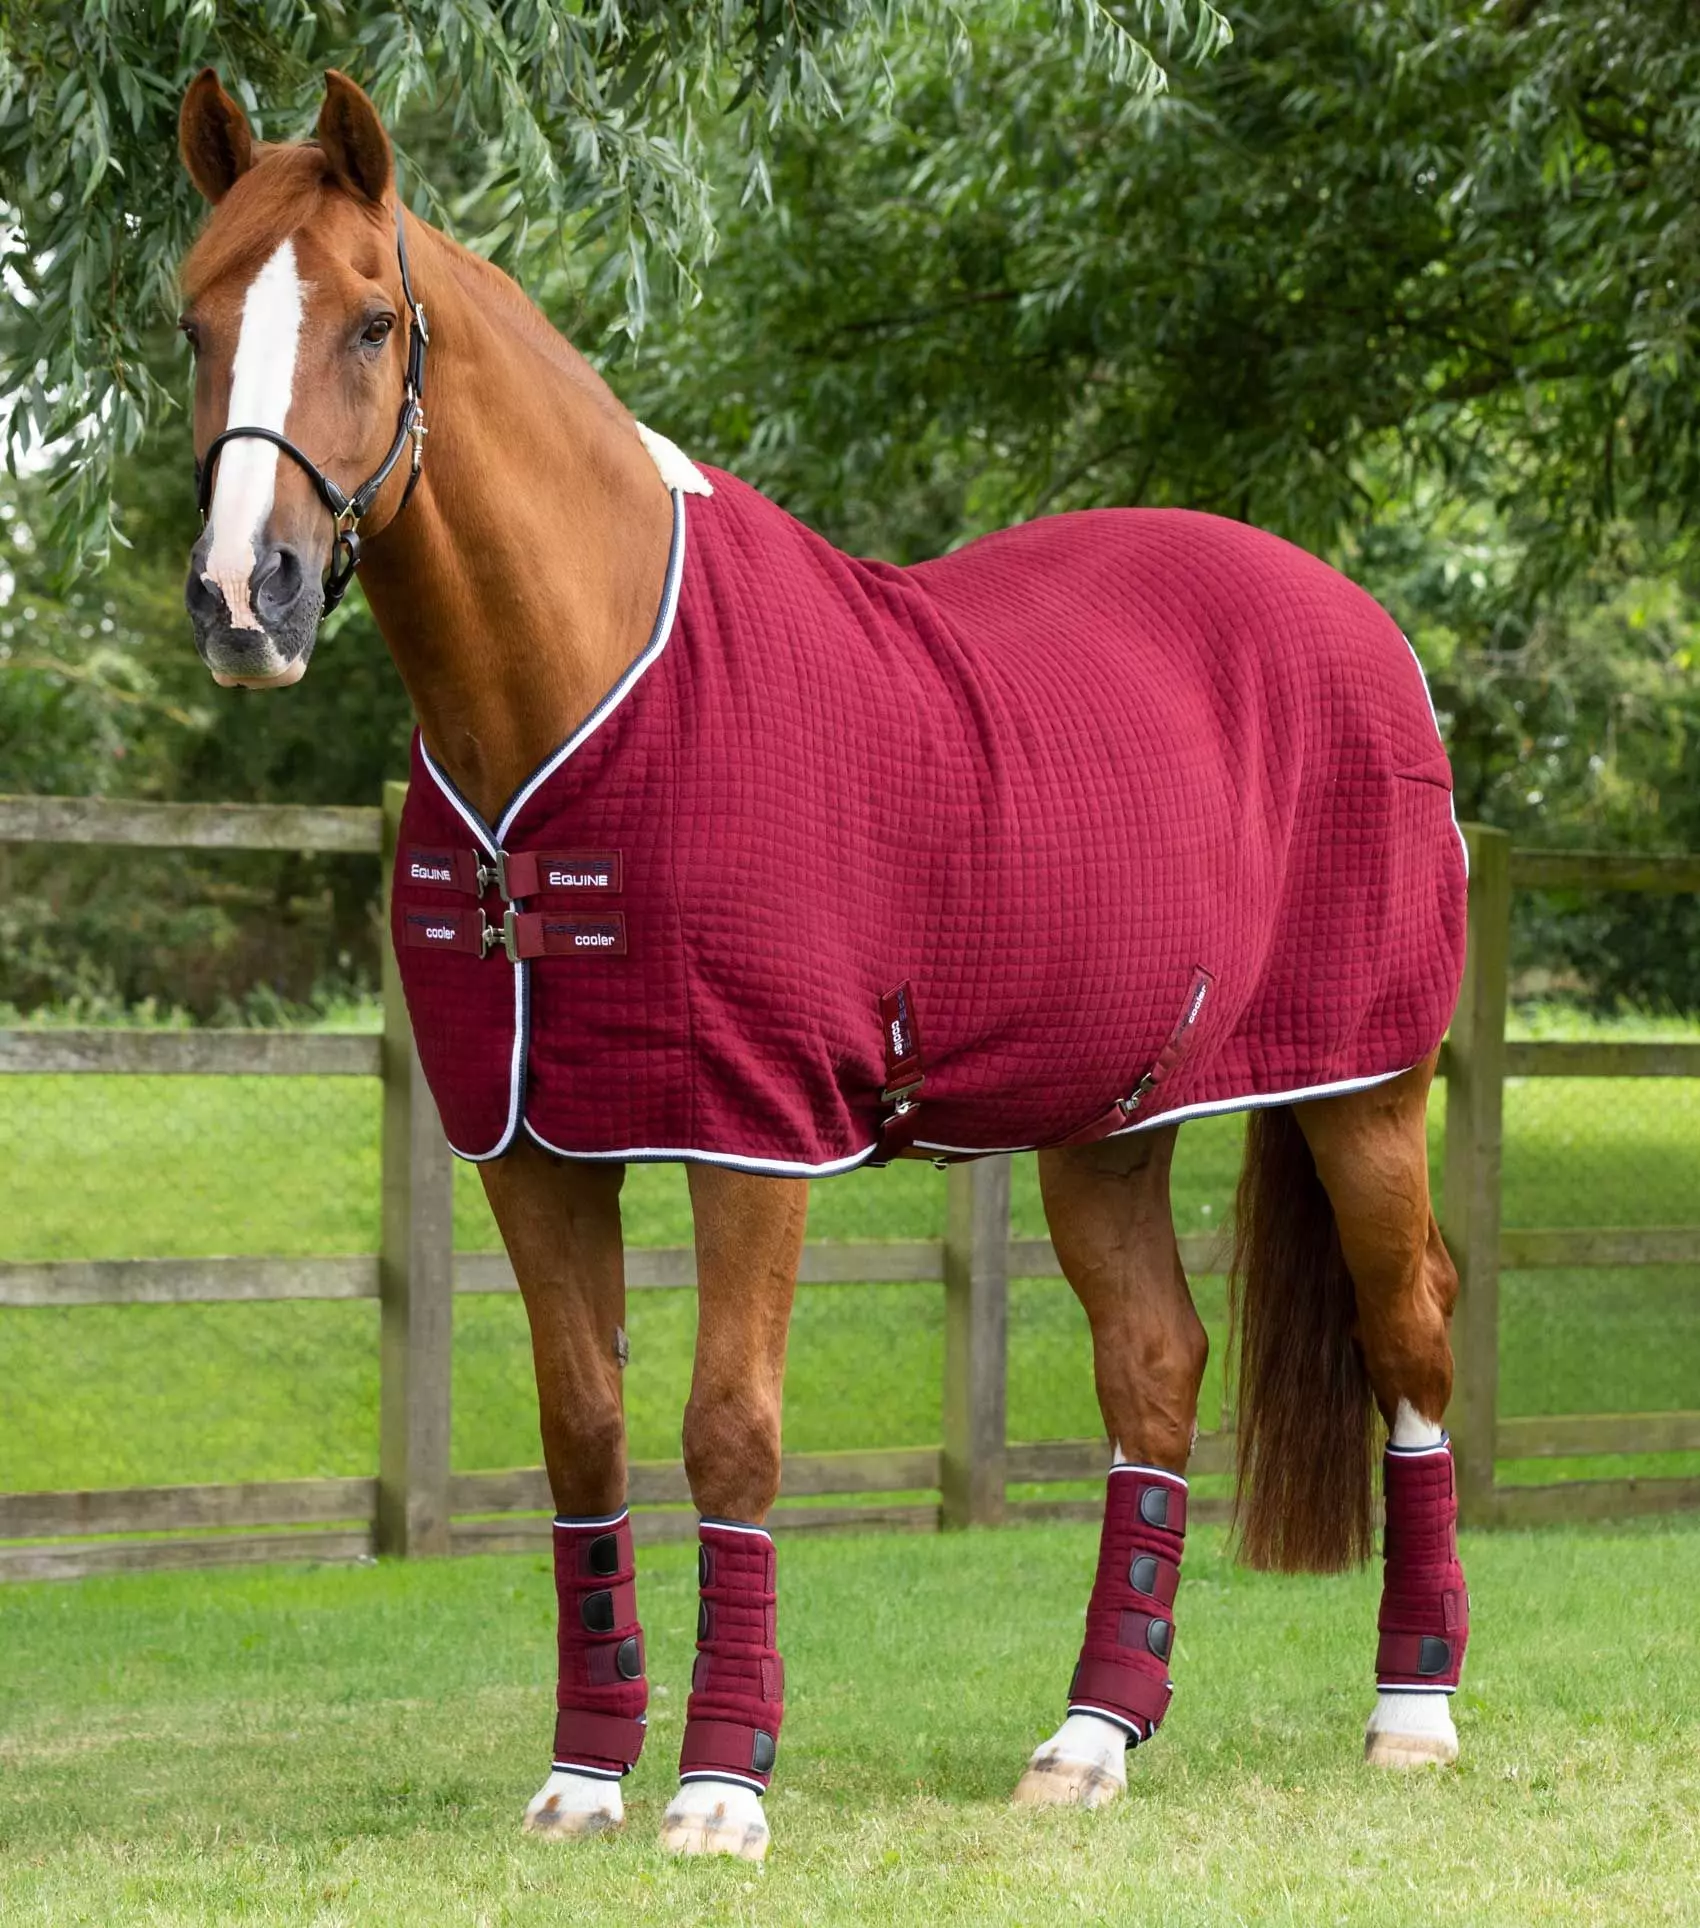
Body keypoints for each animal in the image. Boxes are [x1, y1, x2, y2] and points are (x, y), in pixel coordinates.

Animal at [175, 69, 1471, 1861]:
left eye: (372, 319)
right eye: (192, 320)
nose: (249, 600)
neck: (586, 696)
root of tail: (1364, 626)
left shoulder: (752, 1133)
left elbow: (728, 1434)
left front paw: (723, 1788)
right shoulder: (527, 1150)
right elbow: (583, 1435)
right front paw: (586, 1778)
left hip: (1366, 1091)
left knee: (1413, 1334)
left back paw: (1414, 1717)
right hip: (1109, 1122)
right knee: (1155, 1370)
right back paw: (1089, 1741)